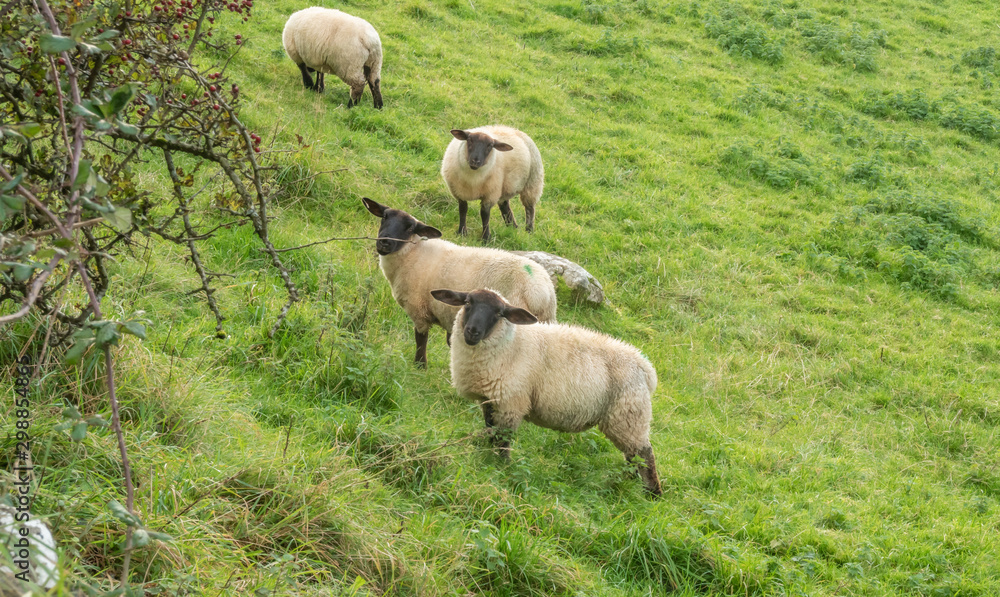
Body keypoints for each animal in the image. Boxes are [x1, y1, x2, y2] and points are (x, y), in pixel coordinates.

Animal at [364, 200, 560, 366]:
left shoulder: (419, 310)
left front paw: (419, 366)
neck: (412, 253)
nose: (385, 242)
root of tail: (543, 292)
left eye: (410, 227)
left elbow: (421, 340)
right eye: (384, 217)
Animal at [430, 286, 664, 496]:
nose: (472, 331)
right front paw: (488, 457)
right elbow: (490, 431)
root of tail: (646, 368)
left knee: (645, 454)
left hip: (629, 416)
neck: (510, 344)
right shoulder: (490, 400)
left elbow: (503, 440)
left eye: (498, 313)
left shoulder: (511, 403)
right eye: (468, 303)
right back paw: (626, 480)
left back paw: (652, 493)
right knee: (632, 456)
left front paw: (501, 466)